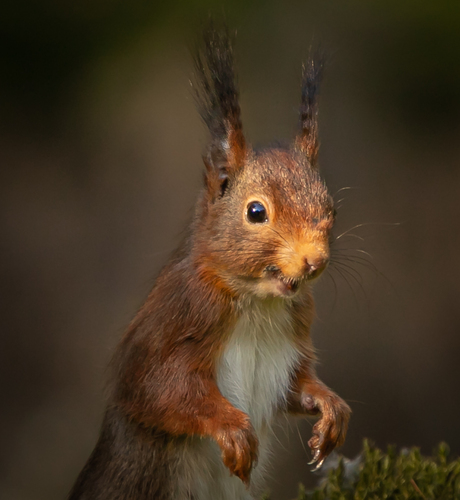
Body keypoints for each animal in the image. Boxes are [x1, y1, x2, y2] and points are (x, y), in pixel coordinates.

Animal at [66, 25, 350, 500]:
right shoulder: (177, 317)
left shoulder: (295, 333)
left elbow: (297, 387)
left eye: (331, 208)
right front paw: (232, 428)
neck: (257, 303)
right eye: (256, 211)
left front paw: (331, 408)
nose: (315, 261)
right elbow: (157, 389)